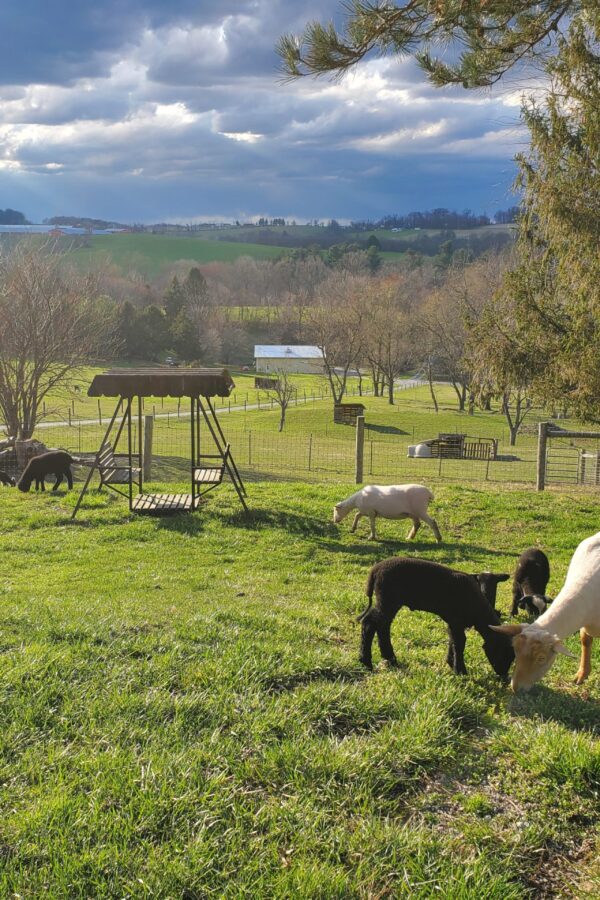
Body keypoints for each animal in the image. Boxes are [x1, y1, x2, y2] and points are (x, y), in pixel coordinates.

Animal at [358, 560, 512, 680]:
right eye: (504, 652)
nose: (504, 676)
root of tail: (374, 571)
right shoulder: (456, 620)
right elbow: (460, 643)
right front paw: (460, 671)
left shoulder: (454, 622)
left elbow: (453, 640)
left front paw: (450, 663)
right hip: (387, 599)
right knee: (369, 623)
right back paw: (366, 662)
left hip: (389, 601)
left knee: (383, 626)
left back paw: (390, 659)